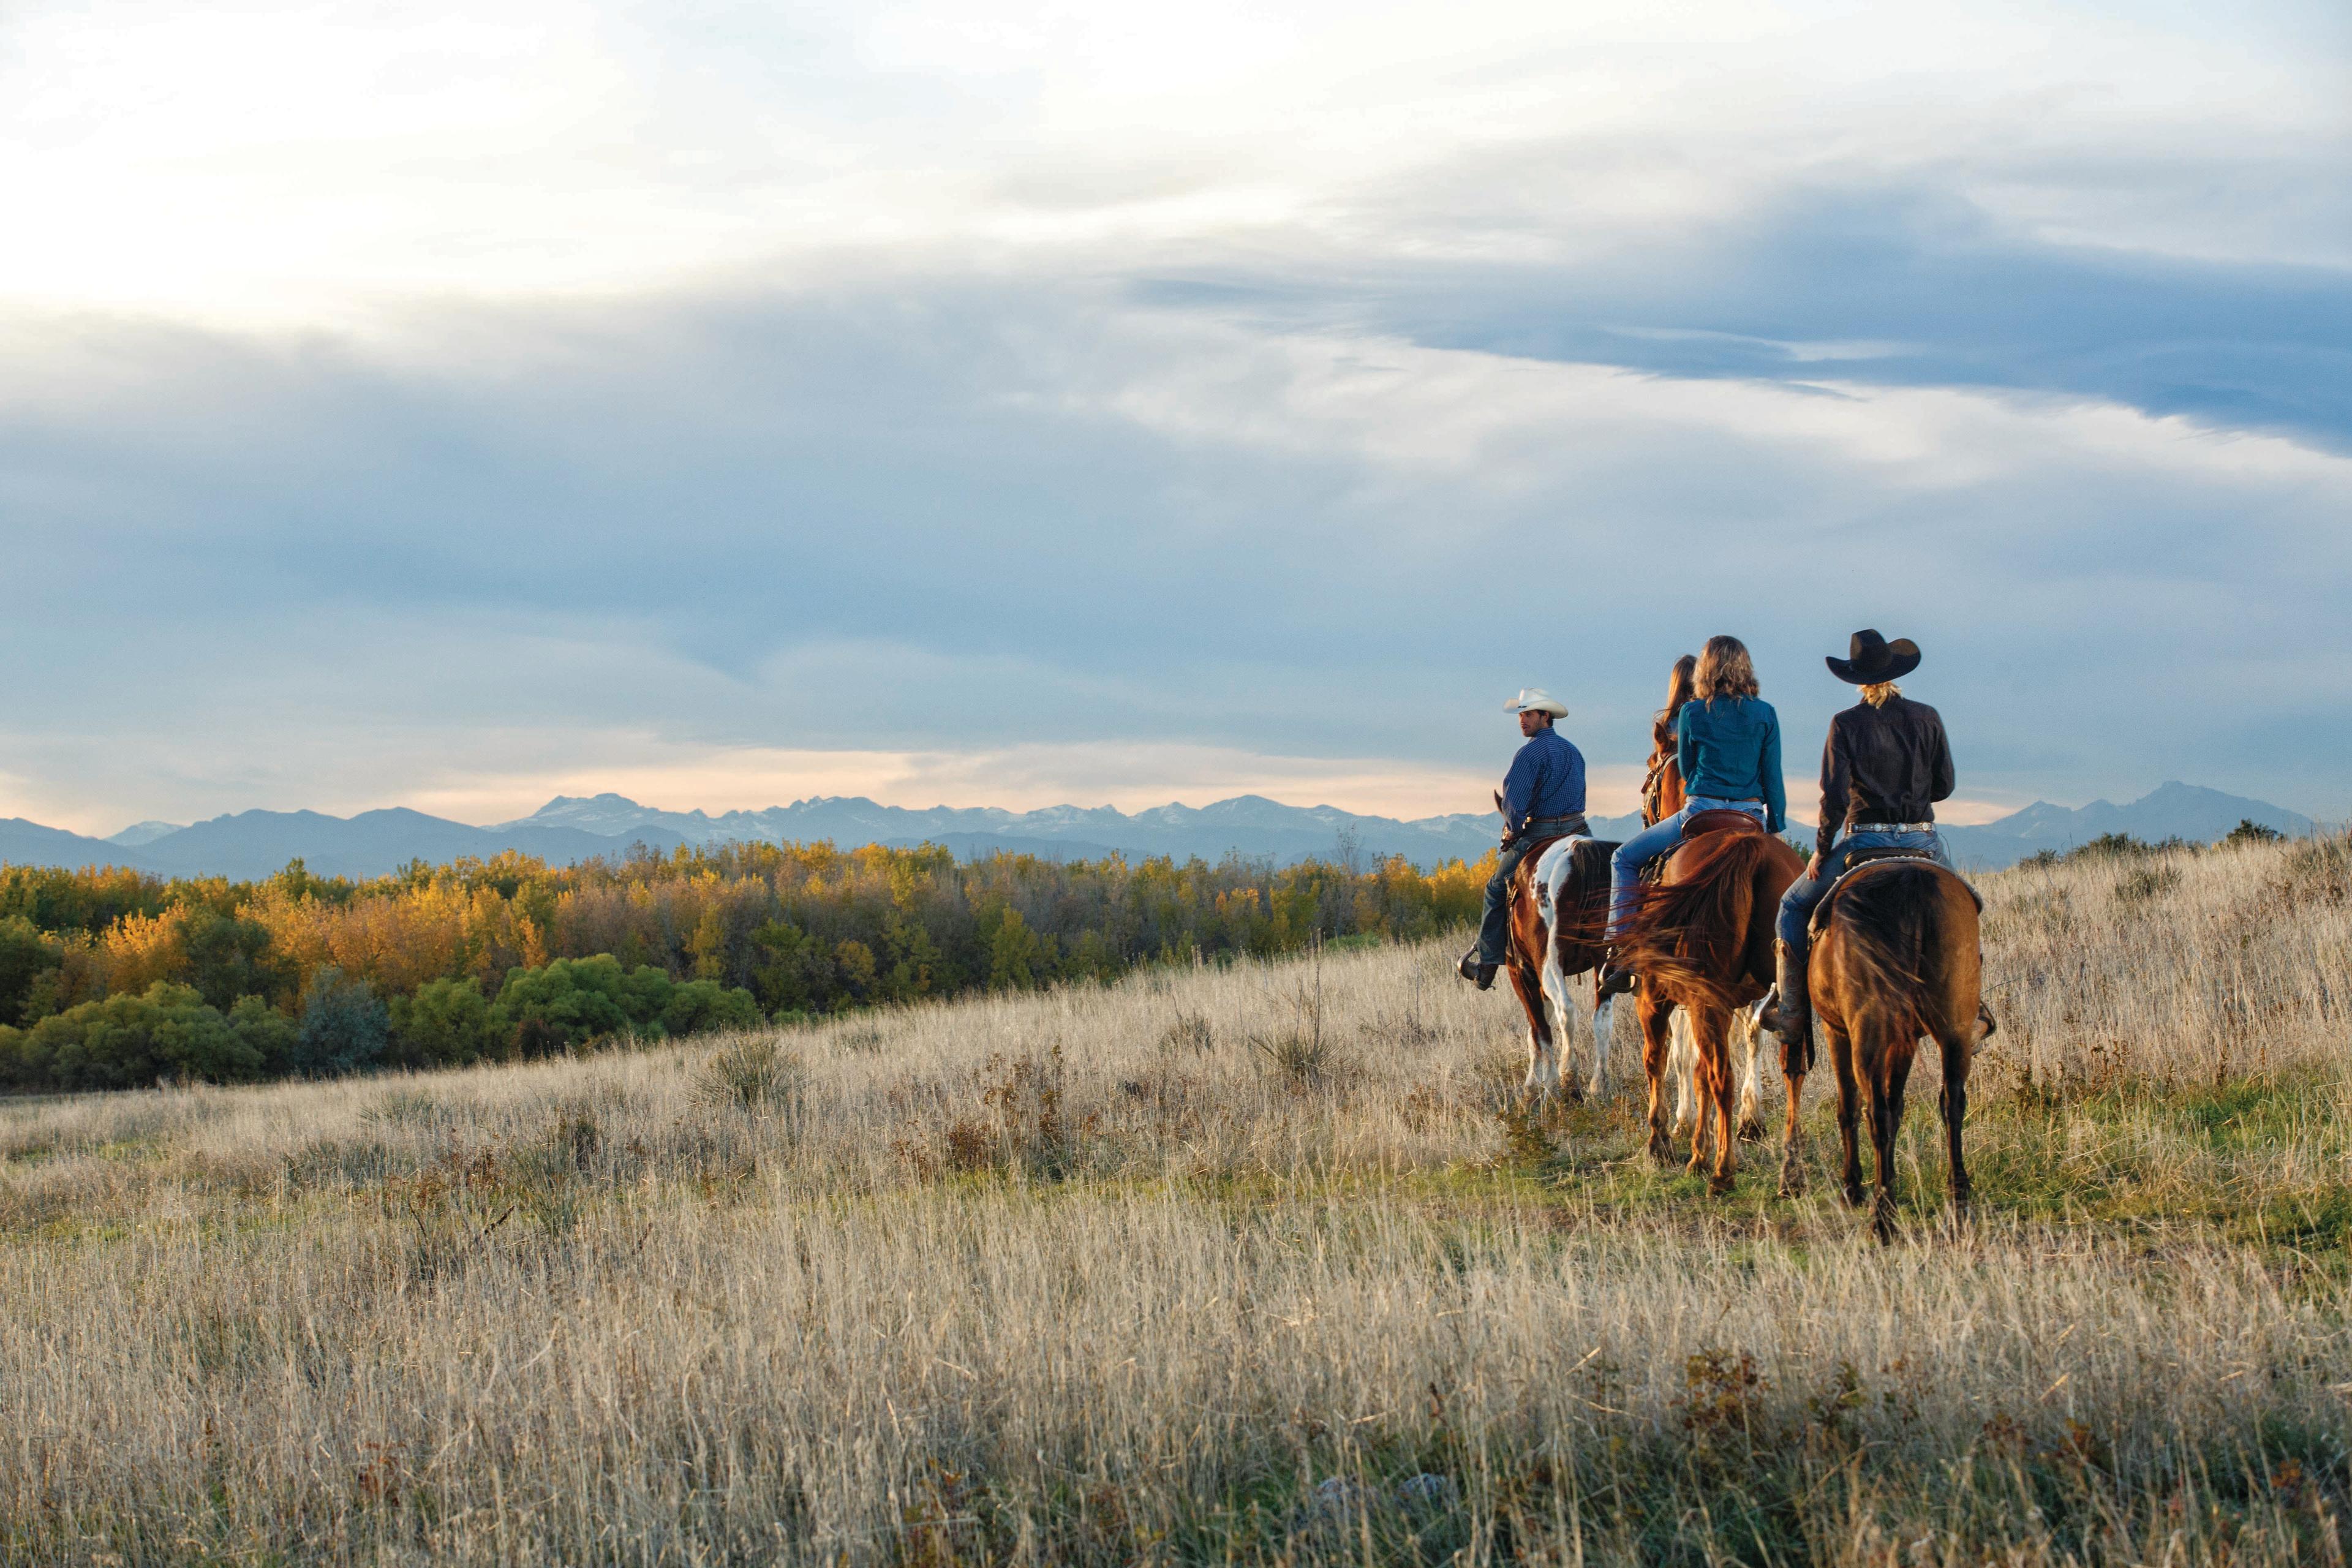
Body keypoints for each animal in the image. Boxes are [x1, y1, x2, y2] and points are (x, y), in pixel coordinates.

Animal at [1806, 860, 1994, 1241]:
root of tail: (1914, 881)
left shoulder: (1837, 1032)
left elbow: (1850, 1107)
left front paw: (1853, 1188)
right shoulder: (1905, 1040)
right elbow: (1898, 1107)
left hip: (1866, 1033)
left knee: (1874, 1112)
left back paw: (1882, 1217)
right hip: (1954, 1028)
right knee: (1952, 1102)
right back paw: (1958, 1202)